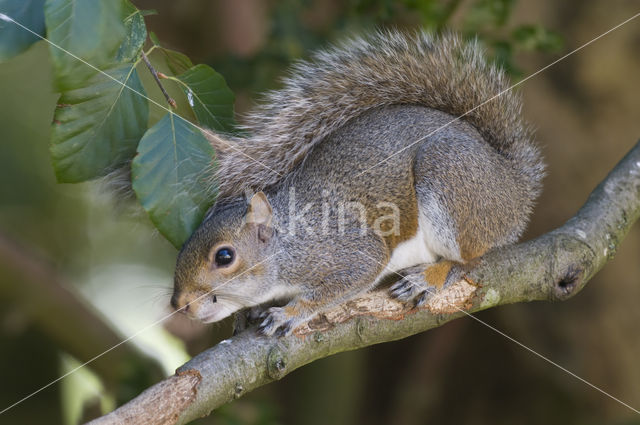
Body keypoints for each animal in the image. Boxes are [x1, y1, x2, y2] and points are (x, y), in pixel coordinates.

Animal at [170, 30, 544, 334]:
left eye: (224, 257)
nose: (180, 305)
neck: (288, 243)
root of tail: (513, 183)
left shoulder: (348, 251)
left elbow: (347, 279)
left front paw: (289, 313)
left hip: (449, 178)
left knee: (470, 259)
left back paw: (429, 277)